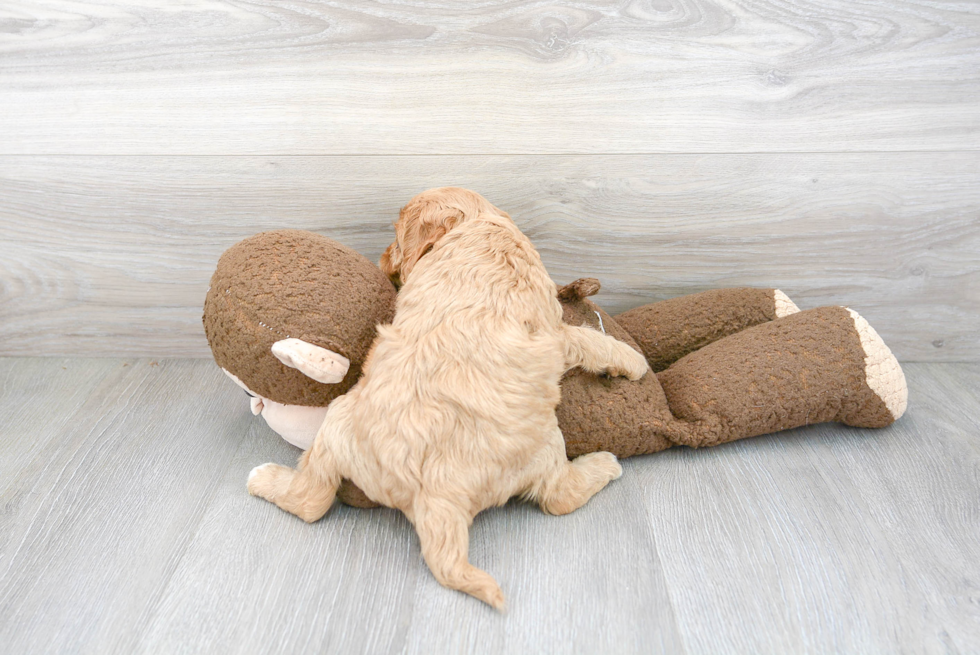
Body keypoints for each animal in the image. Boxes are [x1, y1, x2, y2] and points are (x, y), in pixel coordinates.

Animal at [247, 187, 652, 608]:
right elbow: (589, 339)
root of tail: (439, 495)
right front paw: (635, 362)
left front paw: (631, 362)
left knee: (313, 500)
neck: (478, 225)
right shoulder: (555, 330)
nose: (382, 259)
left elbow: (590, 341)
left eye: (396, 239)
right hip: (538, 444)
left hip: (340, 424)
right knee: (559, 496)